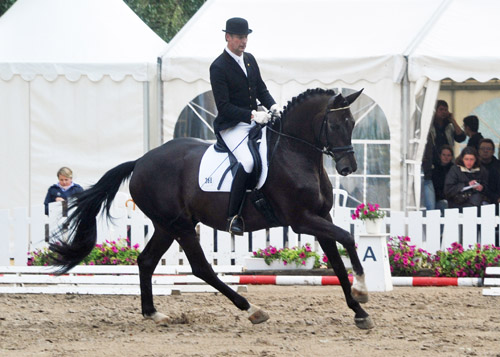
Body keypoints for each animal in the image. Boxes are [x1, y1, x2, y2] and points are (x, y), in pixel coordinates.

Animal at [49, 88, 372, 328]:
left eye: (353, 124)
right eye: (334, 125)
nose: (348, 167)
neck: (294, 153)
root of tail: (140, 162)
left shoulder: (320, 216)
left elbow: (337, 259)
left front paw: (359, 310)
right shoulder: (301, 220)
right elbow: (348, 238)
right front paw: (362, 290)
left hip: (167, 226)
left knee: (146, 261)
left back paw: (153, 313)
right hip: (179, 225)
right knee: (201, 268)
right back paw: (251, 309)